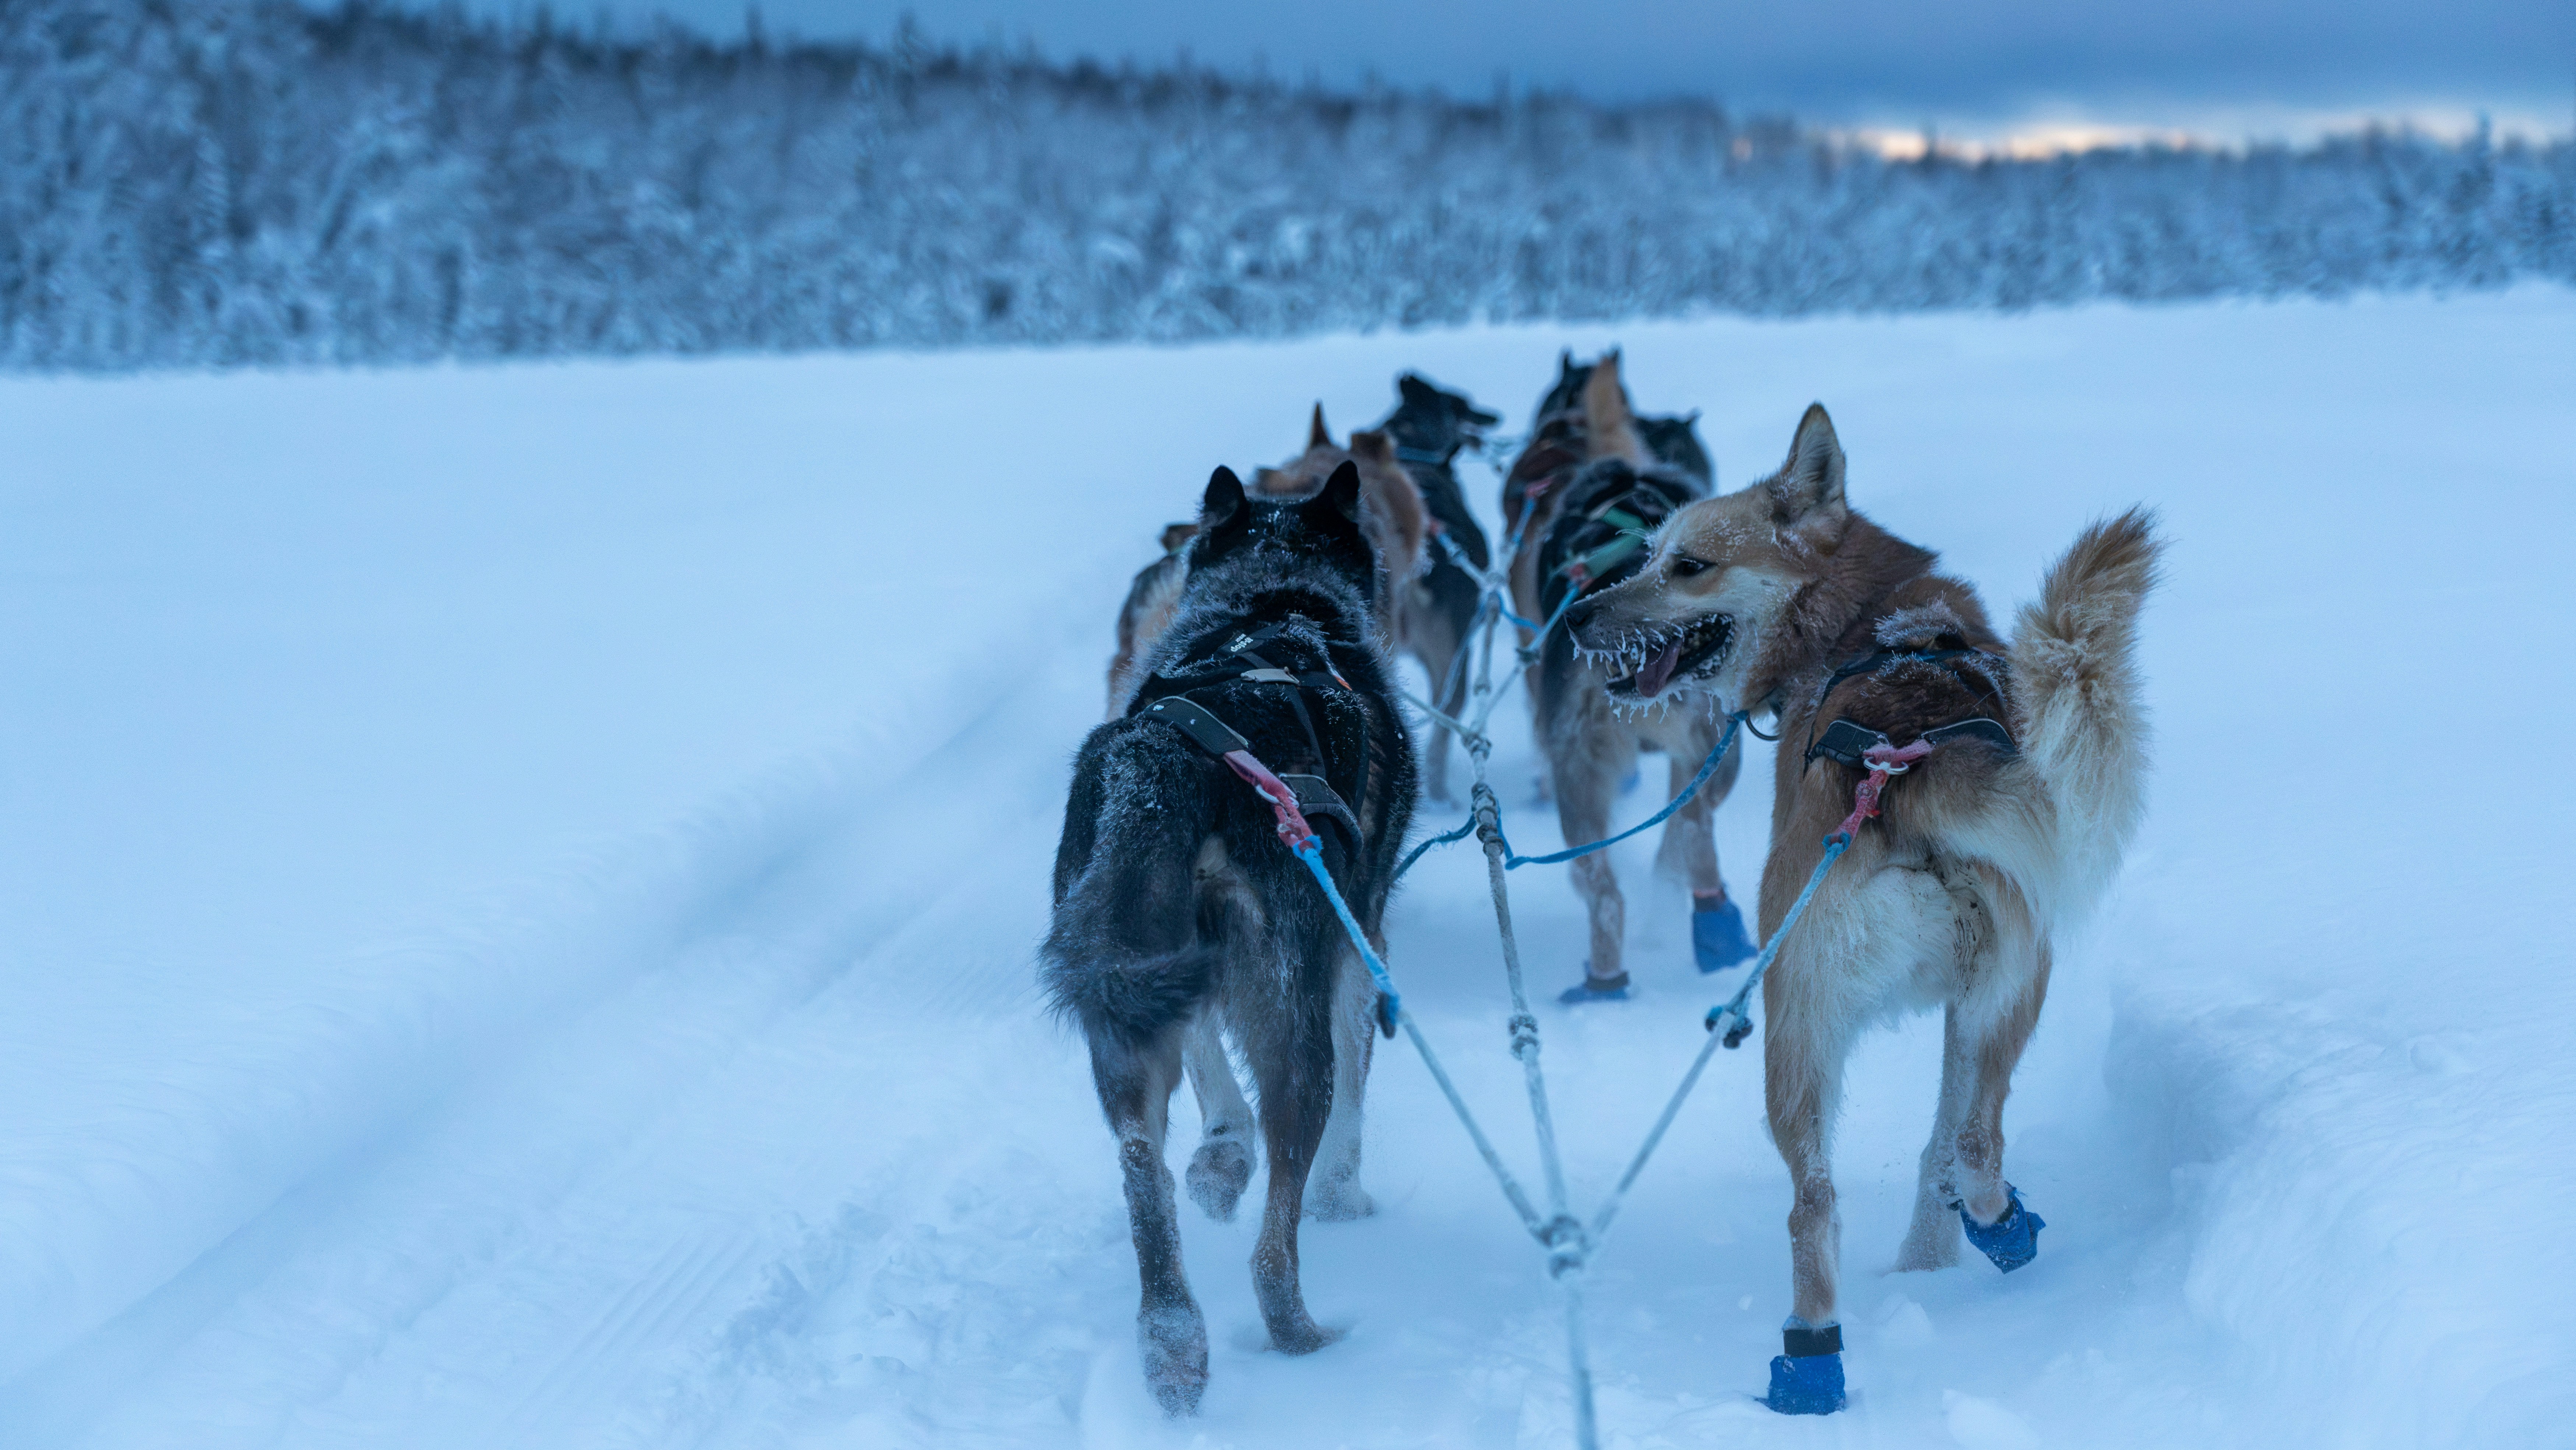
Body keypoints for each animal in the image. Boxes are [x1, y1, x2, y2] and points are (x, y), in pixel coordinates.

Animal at [1035, 458, 1422, 1411]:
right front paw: (1343, 1197)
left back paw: (1173, 1342)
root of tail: (1173, 760)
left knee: (1144, 1170)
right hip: (1292, 1021)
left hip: (1125, 1003)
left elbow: (1211, 1074)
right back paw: (1302, 1334)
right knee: (1275, 1240)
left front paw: (1218, 1161)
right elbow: (1355, 1094)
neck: (1272, 600)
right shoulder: (1356, 943)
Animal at [1566, 399, 2153, 1422]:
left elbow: (1935, 1149)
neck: (1861, 618)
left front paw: (1924, 1268)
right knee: (1950, 1155)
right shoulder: (1977, 1002)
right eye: (1648, 553)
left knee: (1850, 1189)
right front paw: (1931, 1264)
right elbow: (1942, 1145)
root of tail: (1899, 765)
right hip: (1954, 998)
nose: (1579, 615)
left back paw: (1818, 1356)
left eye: (1687, 564)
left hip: (1817, 1025)